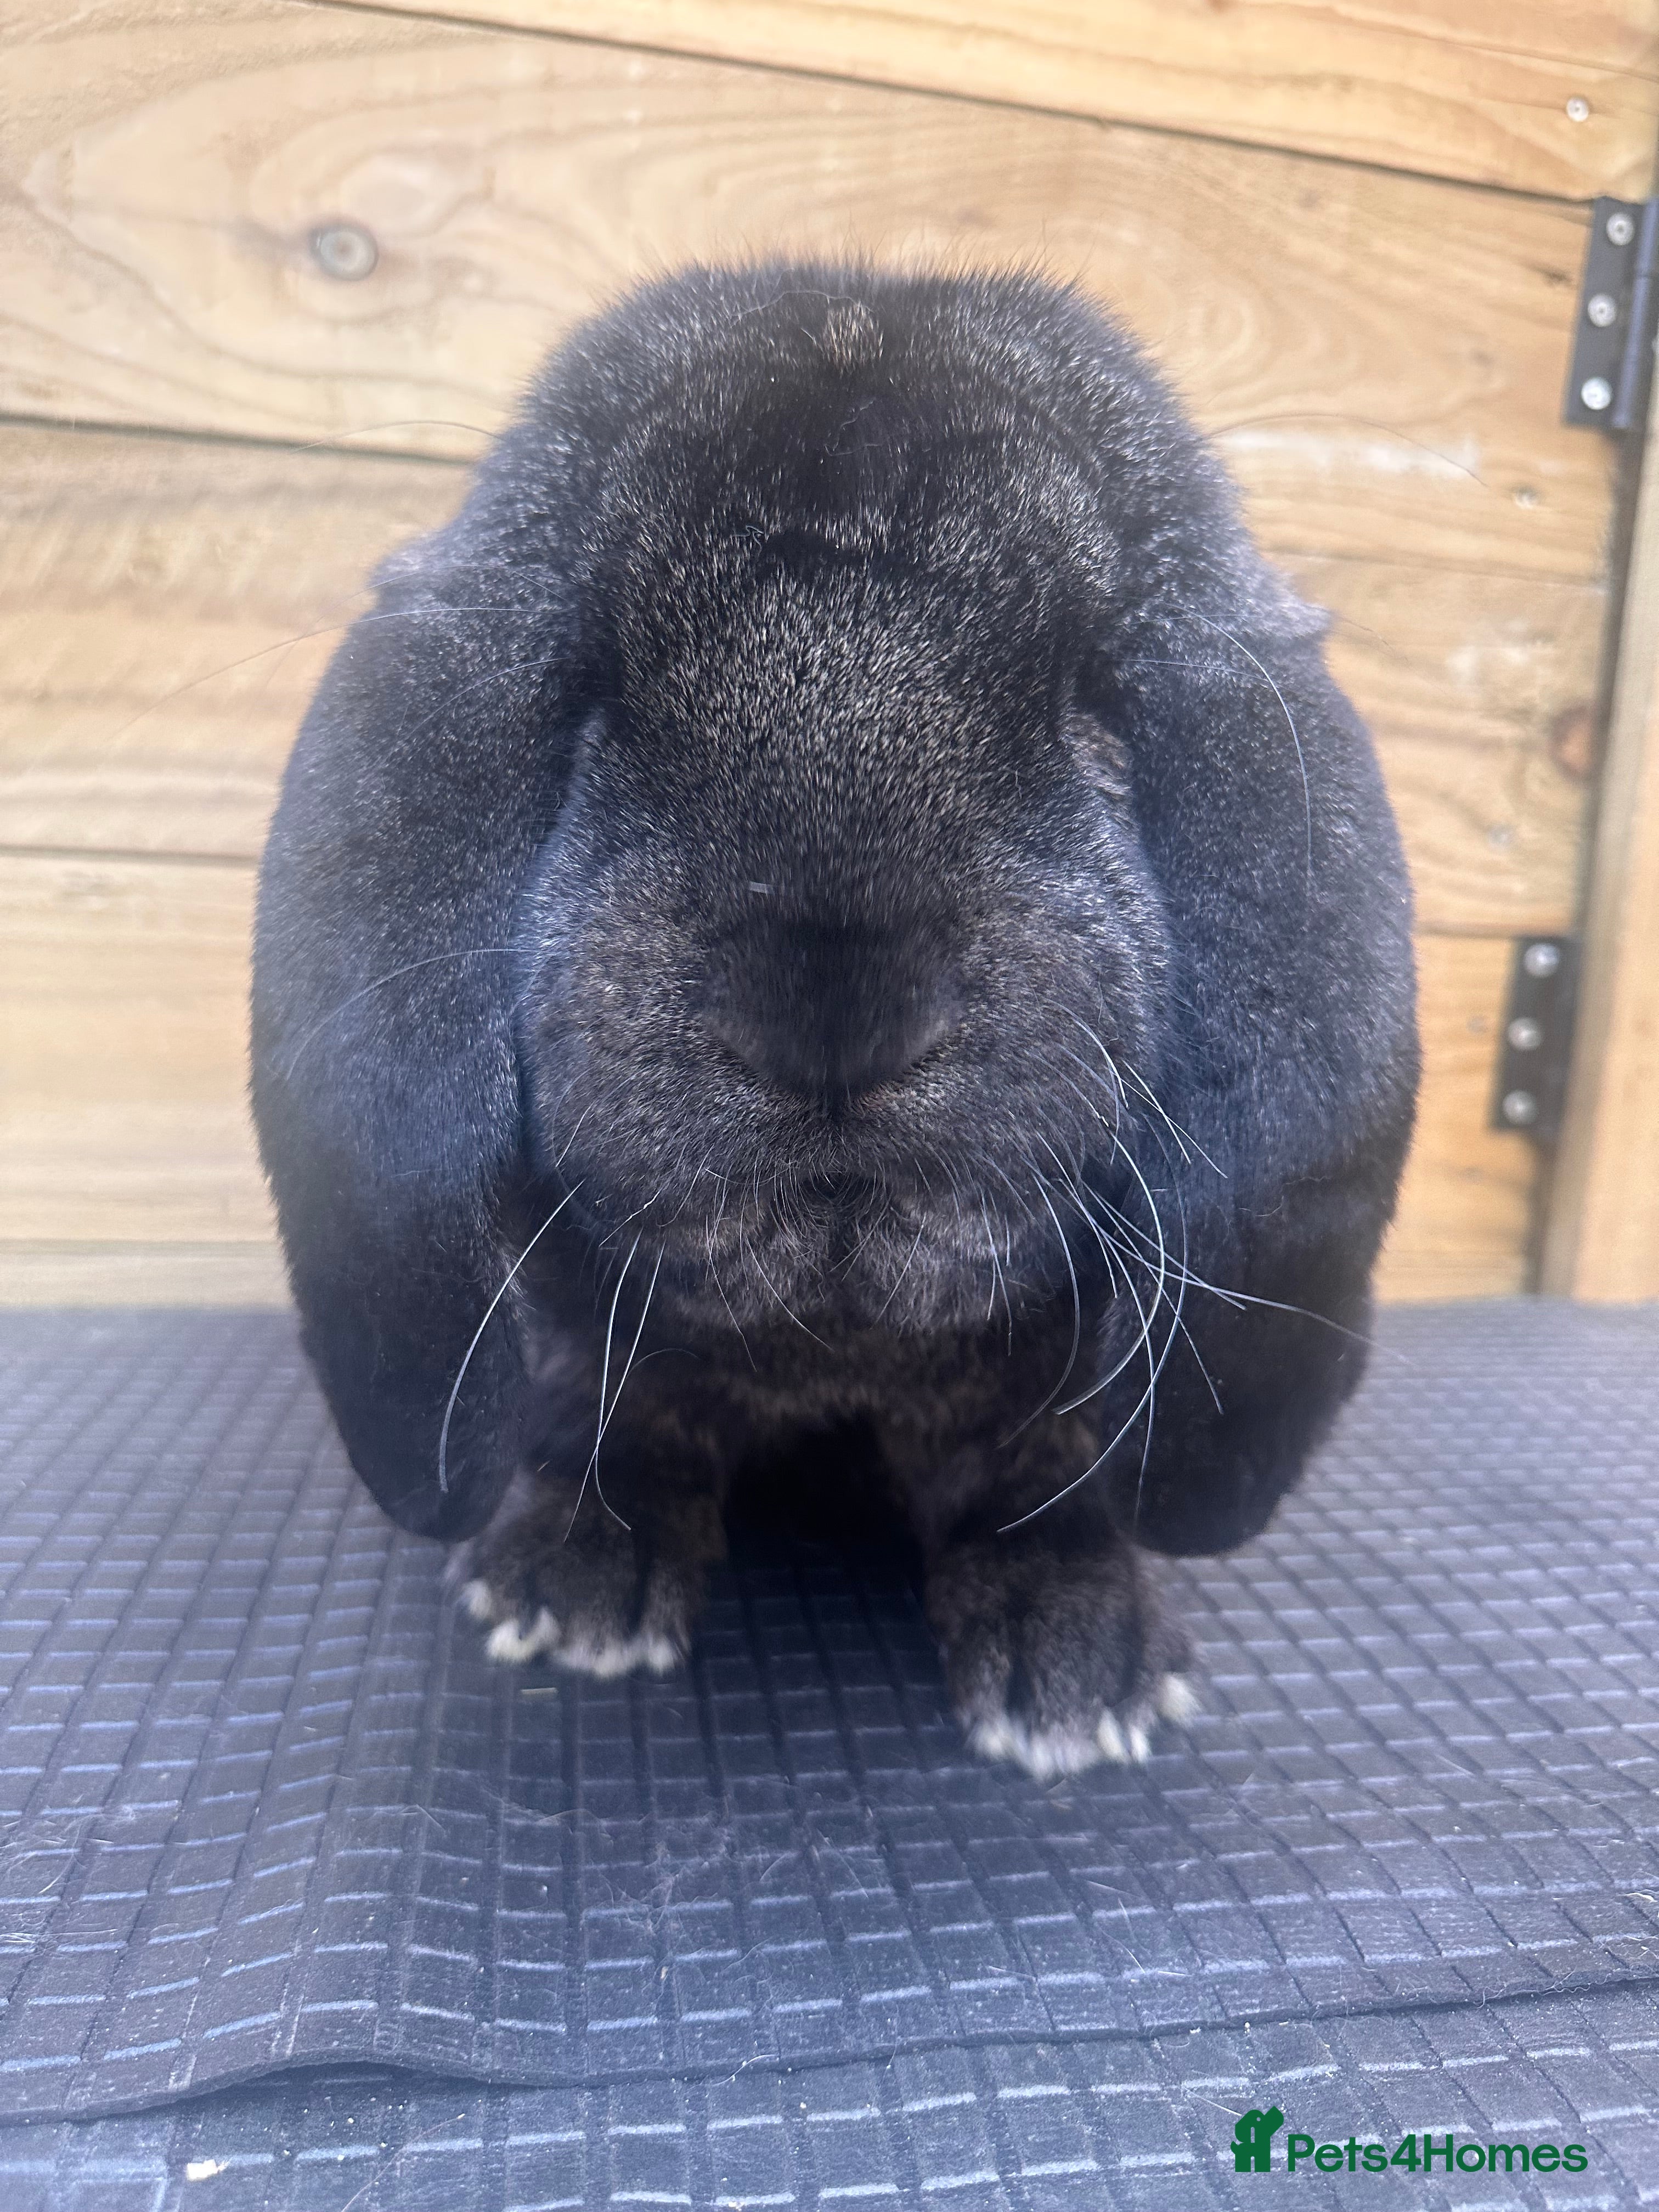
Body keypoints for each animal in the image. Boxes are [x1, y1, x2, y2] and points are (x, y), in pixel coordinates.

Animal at [252, 264, 1418, 1780]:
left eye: (1100, 699)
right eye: (589, 696)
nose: (834, 1007)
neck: (833, 1338)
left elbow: (1037, 1475)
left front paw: (1076, 1654)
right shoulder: (593, 1337)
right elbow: (626, 1409)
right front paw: (572, 1579)